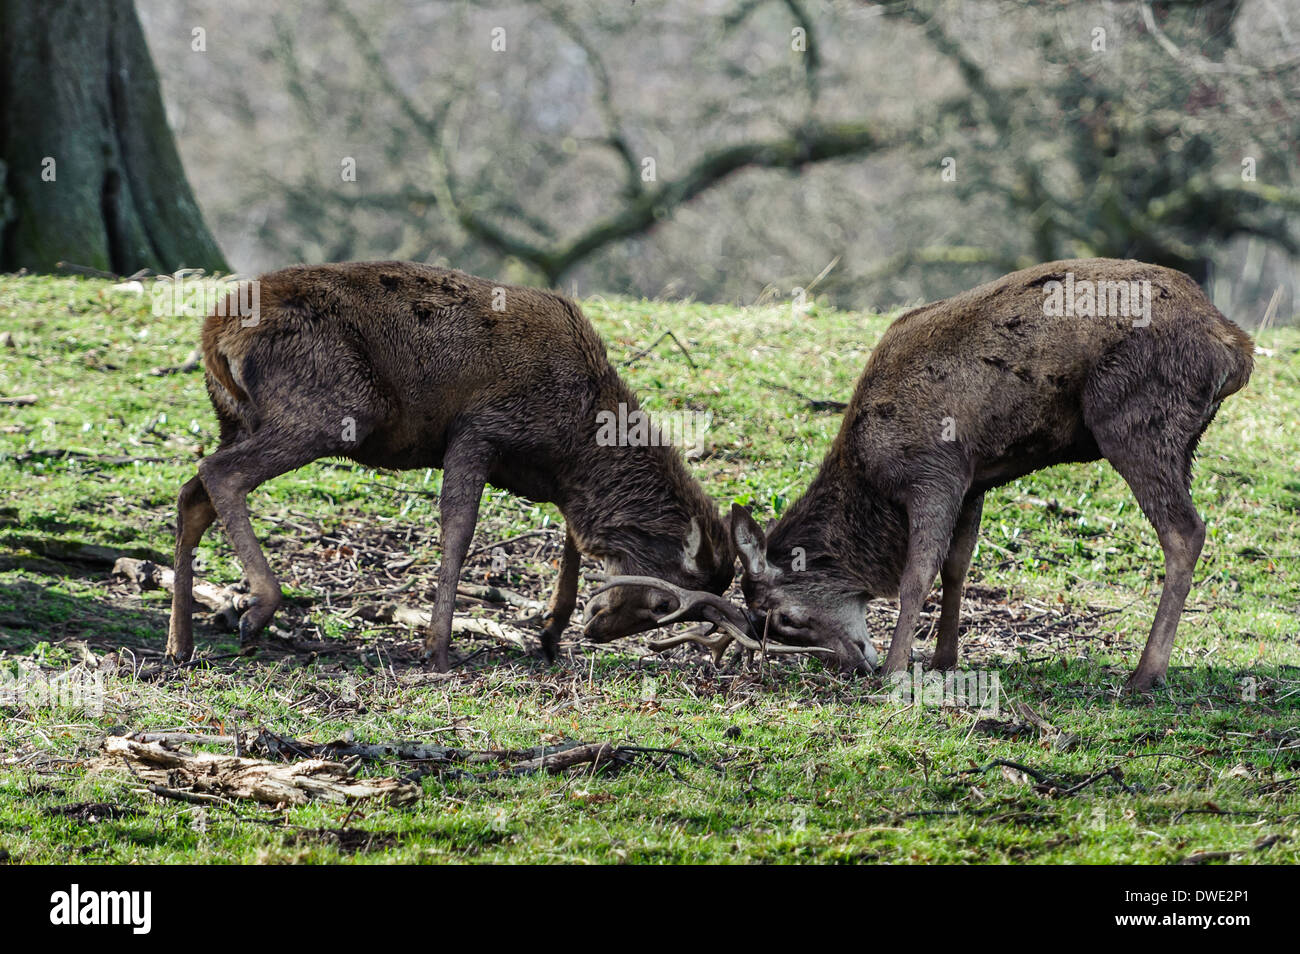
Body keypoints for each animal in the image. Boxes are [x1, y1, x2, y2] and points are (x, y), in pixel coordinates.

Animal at [164, 261, 790, 671]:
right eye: (664, 603)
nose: (598, 628)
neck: (573, 440)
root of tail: (213, 332)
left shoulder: (549, 482)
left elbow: (569, 539)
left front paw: (551, 633)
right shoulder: (478, 430)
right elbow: (459, 530)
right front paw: (438, 648)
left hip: (233, 416)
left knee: (193, 490)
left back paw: (181, 643)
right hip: (333, 408)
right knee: (221, 475)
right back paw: (256, 612)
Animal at [622, 259, 1254, 692]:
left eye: (786, 619)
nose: (855, 665)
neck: (872, 480)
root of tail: (1236, 348)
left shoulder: (935, 469)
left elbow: (916, 572)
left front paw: (898, 669)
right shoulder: (975, 477)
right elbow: (958, 562)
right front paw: (943, 658)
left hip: (1134, 418)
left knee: (1185, 531)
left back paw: (1143, 674)